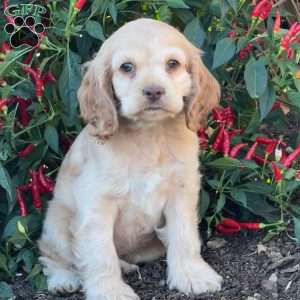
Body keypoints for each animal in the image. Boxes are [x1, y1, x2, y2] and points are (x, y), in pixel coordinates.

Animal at [38, 18, 223, 300]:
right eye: (127, 67)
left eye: (173, 63)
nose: (154, 91)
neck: (149, 134)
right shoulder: (96, 204)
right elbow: (100, 253)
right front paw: (110, 291)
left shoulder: (181, 191)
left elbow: (185, 235)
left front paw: (192, 275)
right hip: (57, 220)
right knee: (53, 255)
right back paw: (64, 279)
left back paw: (125, 265)